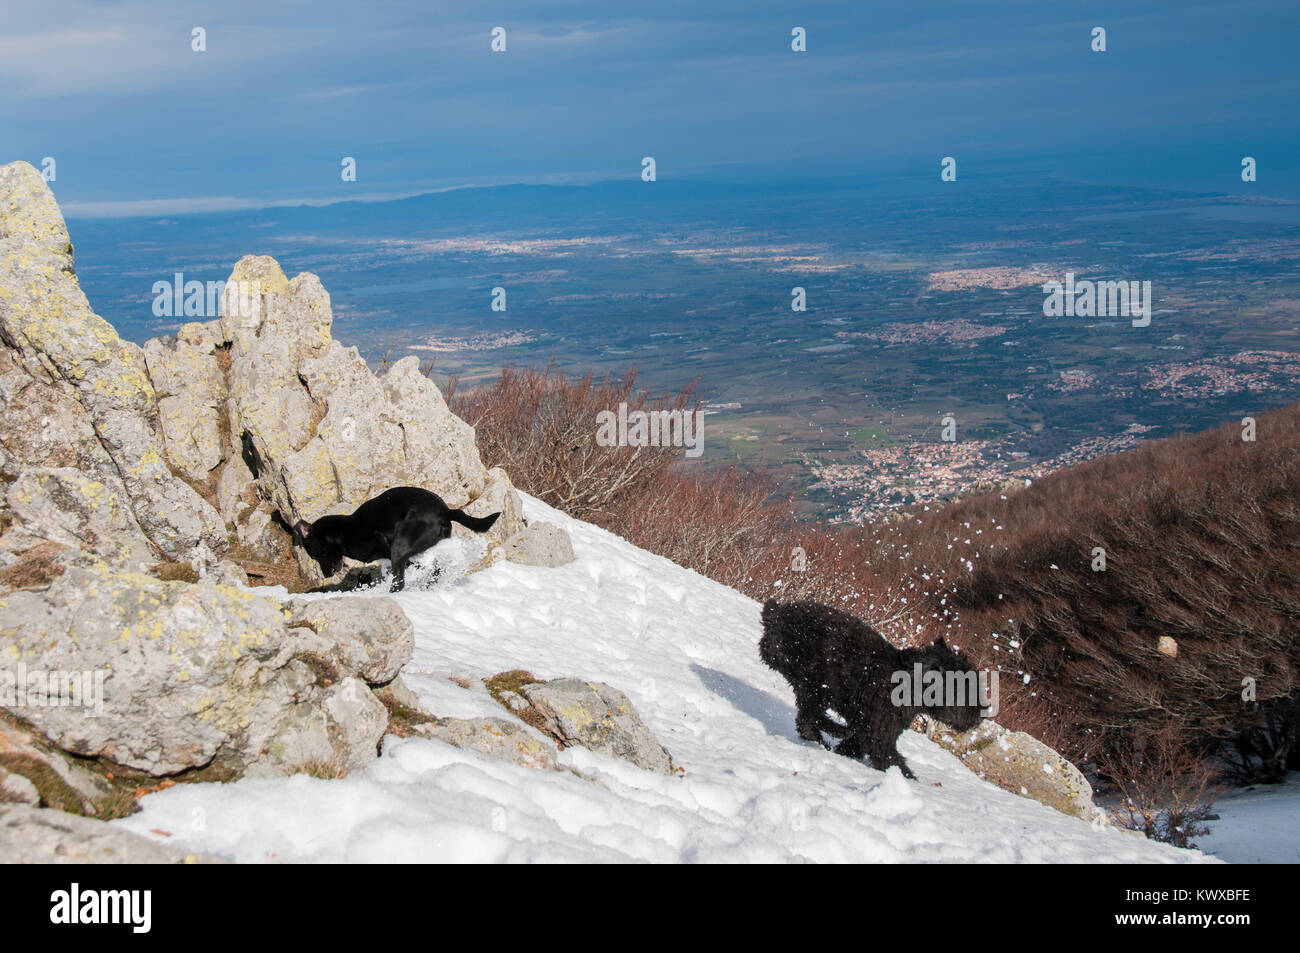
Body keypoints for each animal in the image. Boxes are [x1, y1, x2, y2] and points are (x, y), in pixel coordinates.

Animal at [292, 486, 499, 590]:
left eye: (315, 555)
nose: (327, 575)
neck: (344, 531)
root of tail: (445, 511)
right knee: (435, 570)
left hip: (400, 546)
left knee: (399, 582)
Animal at [759, 598, 977, 774]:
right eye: (964, 687)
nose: (980, 715)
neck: (911, 684)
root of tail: (776, 615)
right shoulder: (880, 733)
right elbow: (891, 759)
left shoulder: (873, 728)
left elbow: (857, 745)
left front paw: (842, 751)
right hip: (817, 682)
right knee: (810, 717)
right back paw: (835, 731)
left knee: (808, 718)